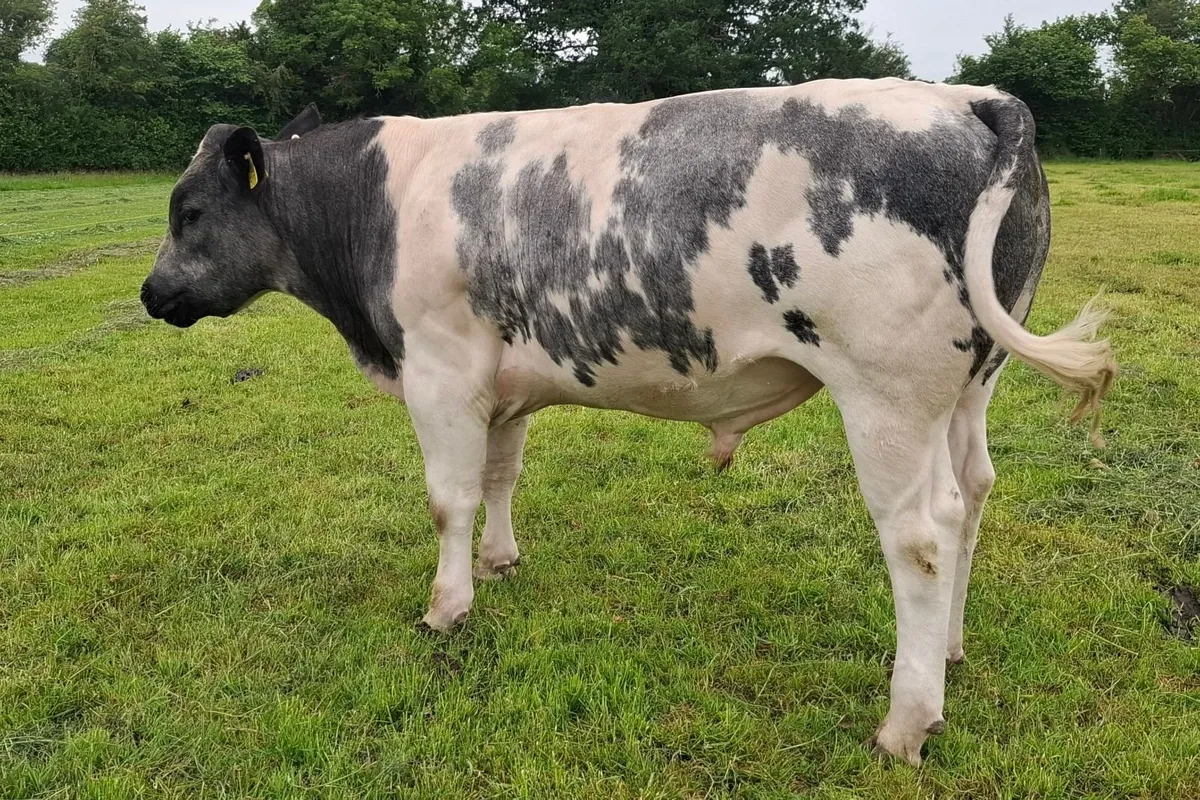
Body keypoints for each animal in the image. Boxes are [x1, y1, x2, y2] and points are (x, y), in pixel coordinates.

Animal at [140, 78, 1116, 765]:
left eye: (190, 211)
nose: (150, 294)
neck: (378, 207)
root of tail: (967, 98)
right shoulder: (501, 379)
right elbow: (499, 475)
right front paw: (499, 562)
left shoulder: (441, 369)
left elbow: (448, 497)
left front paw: (446, 606)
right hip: (971, 384)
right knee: (974, 497)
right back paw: (948, 653)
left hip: (887, 393)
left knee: (921, 535)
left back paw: (906, 722)